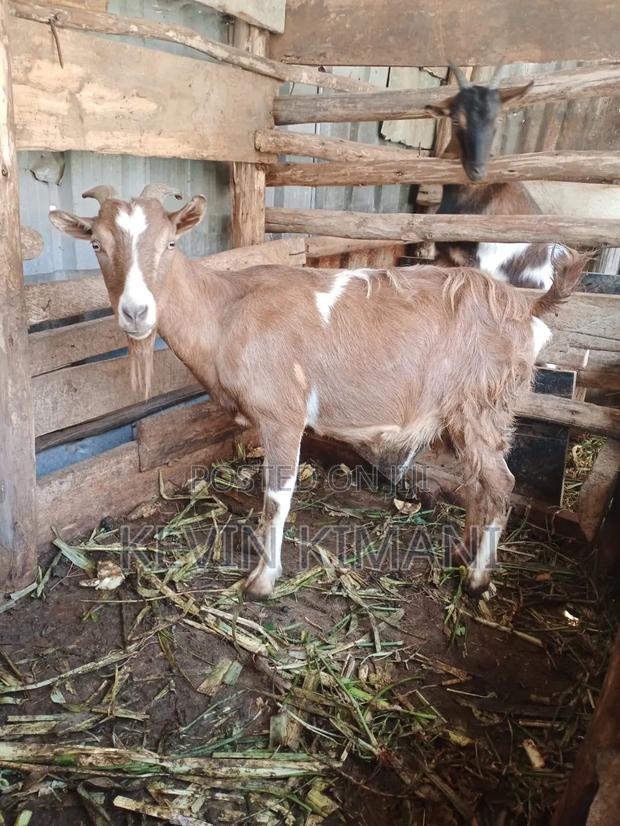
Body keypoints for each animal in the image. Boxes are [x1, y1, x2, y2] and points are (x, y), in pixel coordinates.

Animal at [49, 185, 585, 599]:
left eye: (171, 243)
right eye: (96, 245)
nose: (136, 312)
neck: (226, 310)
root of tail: (526, 305)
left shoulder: (283, 414)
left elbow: (276, 498)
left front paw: (262, 581)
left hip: (481, 404)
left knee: (501, 484)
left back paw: (477, 577)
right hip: (470, 413)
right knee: (481, 484)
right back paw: (463, 552)